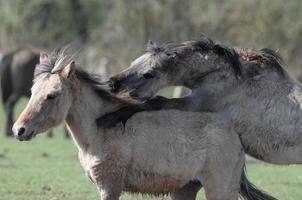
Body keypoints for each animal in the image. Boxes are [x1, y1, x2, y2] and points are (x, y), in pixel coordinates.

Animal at [13, 51, 254, 200]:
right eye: (33, 91)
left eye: (52, 95)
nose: (19, 130)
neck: (101, 129)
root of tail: (235, 136)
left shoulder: (110, 187)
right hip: (186, 189)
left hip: (219, 189)